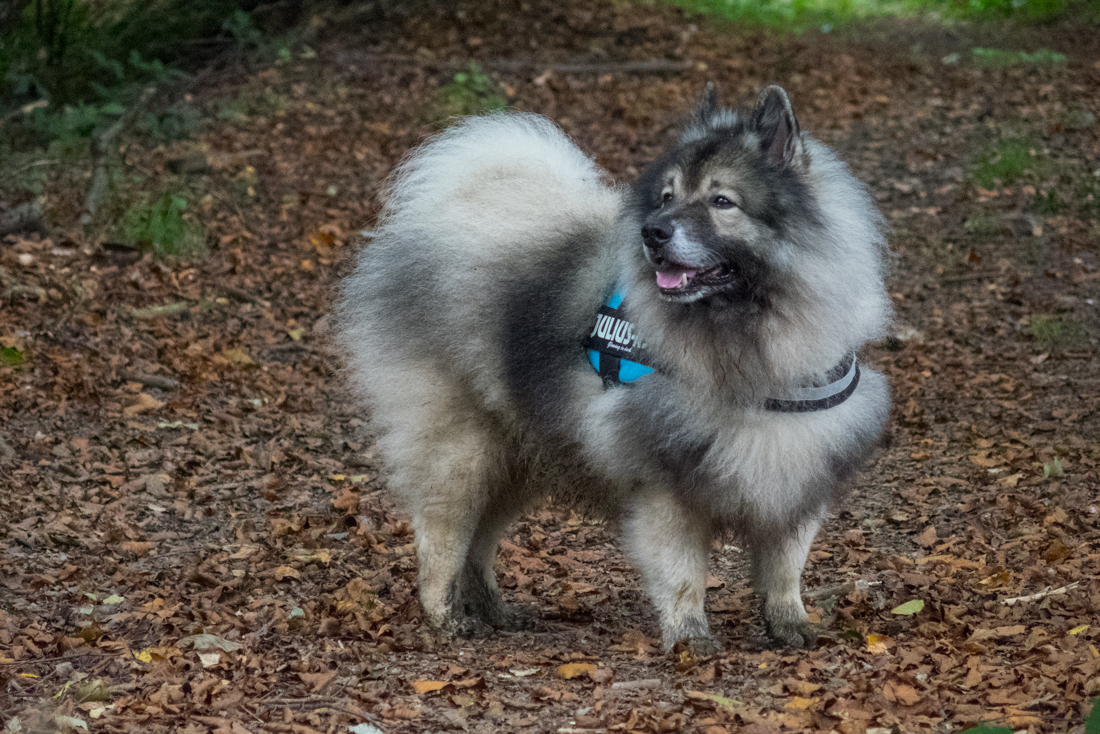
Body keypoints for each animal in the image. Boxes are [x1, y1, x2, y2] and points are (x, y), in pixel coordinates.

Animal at [336, 86, 893, 655]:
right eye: (667, 197)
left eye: (722, 201)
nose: (653, 232)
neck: (748, 343)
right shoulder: (665, 482)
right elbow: (683, 572)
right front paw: (690, 638)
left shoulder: (797, 467)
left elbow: (785, 566)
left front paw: (790, 623)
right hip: (462, 451)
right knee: (442, 535)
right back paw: (446, 618)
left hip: (516, 455)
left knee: (480, 540)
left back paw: (492, 609)